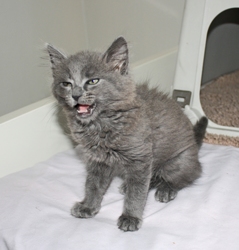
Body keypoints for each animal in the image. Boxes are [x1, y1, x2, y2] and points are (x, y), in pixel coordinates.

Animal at [46, 37, 207, 232]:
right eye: (66, 84)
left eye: (93, 81)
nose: (75, 95)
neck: (100, 125)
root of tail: (194, 144)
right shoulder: (98, 160)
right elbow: (93, 185)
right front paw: (88, 206)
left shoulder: (140, 159)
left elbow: (137, 192)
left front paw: (131, 217)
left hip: (176, 162)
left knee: (188, 175)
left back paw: (166, 189)